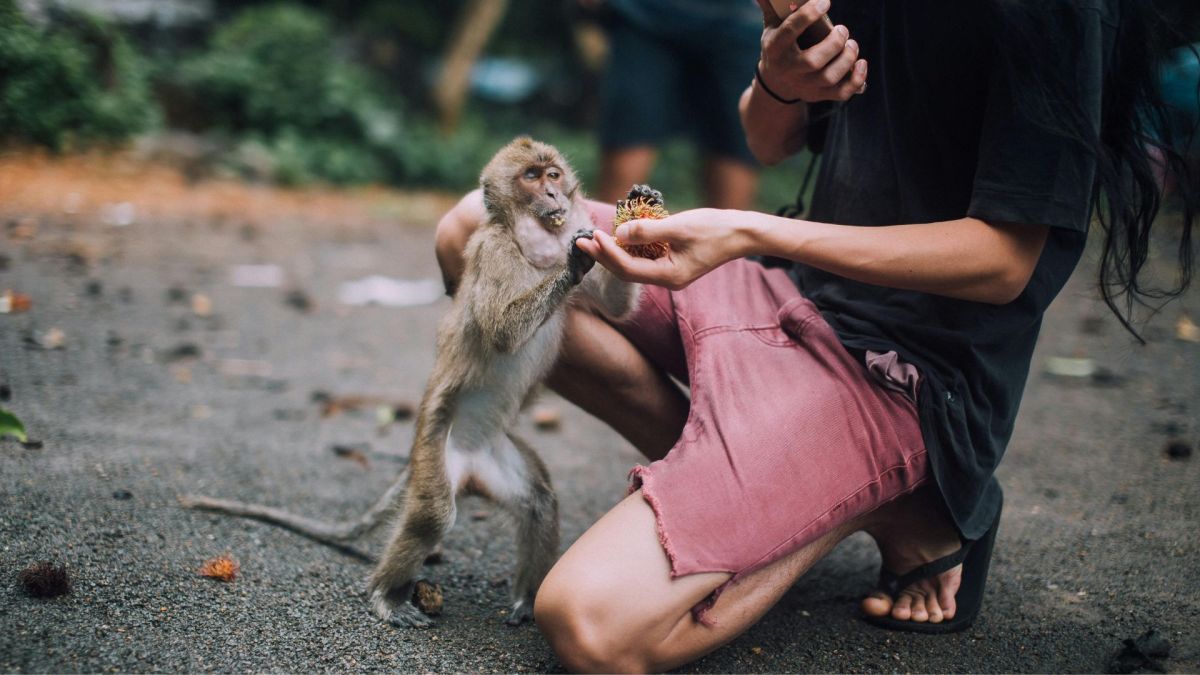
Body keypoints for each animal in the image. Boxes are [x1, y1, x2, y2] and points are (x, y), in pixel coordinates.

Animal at [181, 136, 644, 629]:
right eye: (531, 178)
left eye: (552, 174)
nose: (554, 194)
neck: (532, 244)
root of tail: (469, 463)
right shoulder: (494, 251)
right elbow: (501, 330)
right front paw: (575, 261)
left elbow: (615, 307)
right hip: (432, 450)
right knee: (433, 515)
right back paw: (386, 594)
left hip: (495, 458)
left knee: (539, 503)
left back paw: (523, 599)